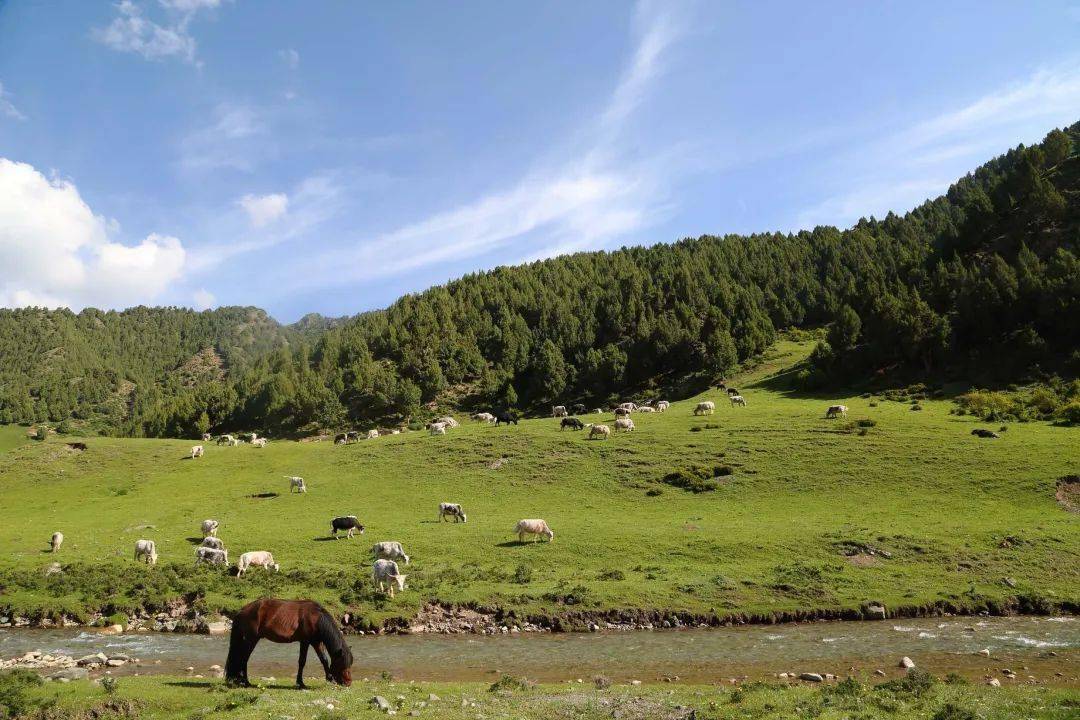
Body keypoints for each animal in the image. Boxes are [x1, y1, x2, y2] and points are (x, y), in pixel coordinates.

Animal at [224, 600, 354, 690]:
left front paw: (329, 678)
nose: (348, 683)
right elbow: (302, 661)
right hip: (251, 639)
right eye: (342, 663)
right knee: (244, 658)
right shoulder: (306, 641)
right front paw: (301, 683)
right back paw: (245, 681)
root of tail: (243, 610)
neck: (316, 618)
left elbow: (324, 660)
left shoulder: (315, 642)